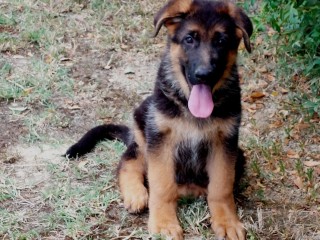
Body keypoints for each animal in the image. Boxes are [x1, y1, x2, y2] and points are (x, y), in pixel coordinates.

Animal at [67, 0, 252, 239]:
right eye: (189, 39)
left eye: (221, 41)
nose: (204, 75)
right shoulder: (161, 138)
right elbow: (162, 186)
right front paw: (164, 223)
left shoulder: (225, 142)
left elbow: (221, 186)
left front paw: (227, 221)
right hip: (143, 129)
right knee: (128, 160)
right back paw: (136, 192)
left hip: (239, 155)